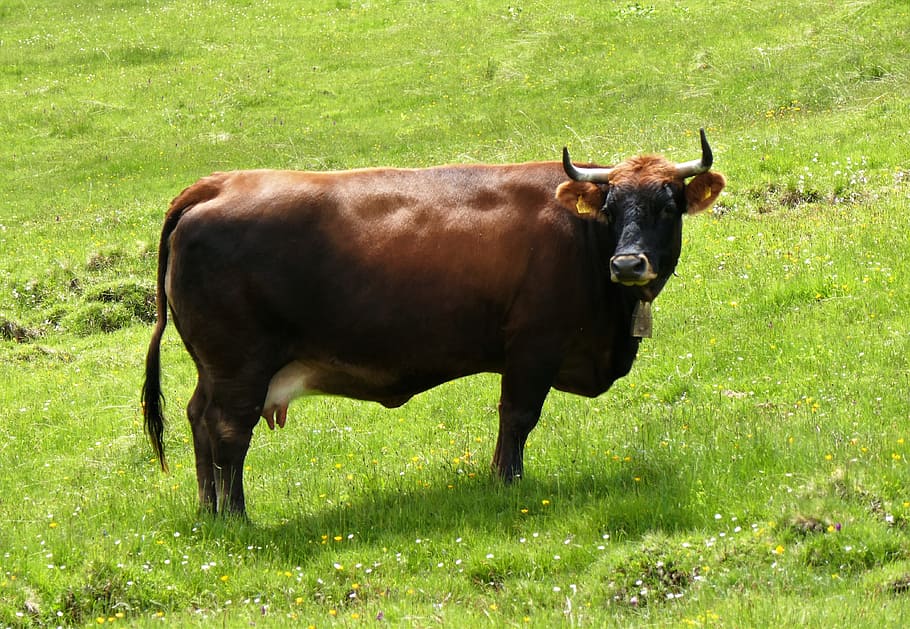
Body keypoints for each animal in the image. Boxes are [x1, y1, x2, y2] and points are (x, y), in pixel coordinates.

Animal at [142, 130, 725, 517]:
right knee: (227, 430)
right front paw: (505, 484)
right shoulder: (533, 346)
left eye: (667, 207)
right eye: (611, 206)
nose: (627, 264)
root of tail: (216, 184)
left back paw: (210, 513)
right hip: (240, 366)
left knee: (198, 419)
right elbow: (517, 418)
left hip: (215, 369)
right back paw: (237, 516)